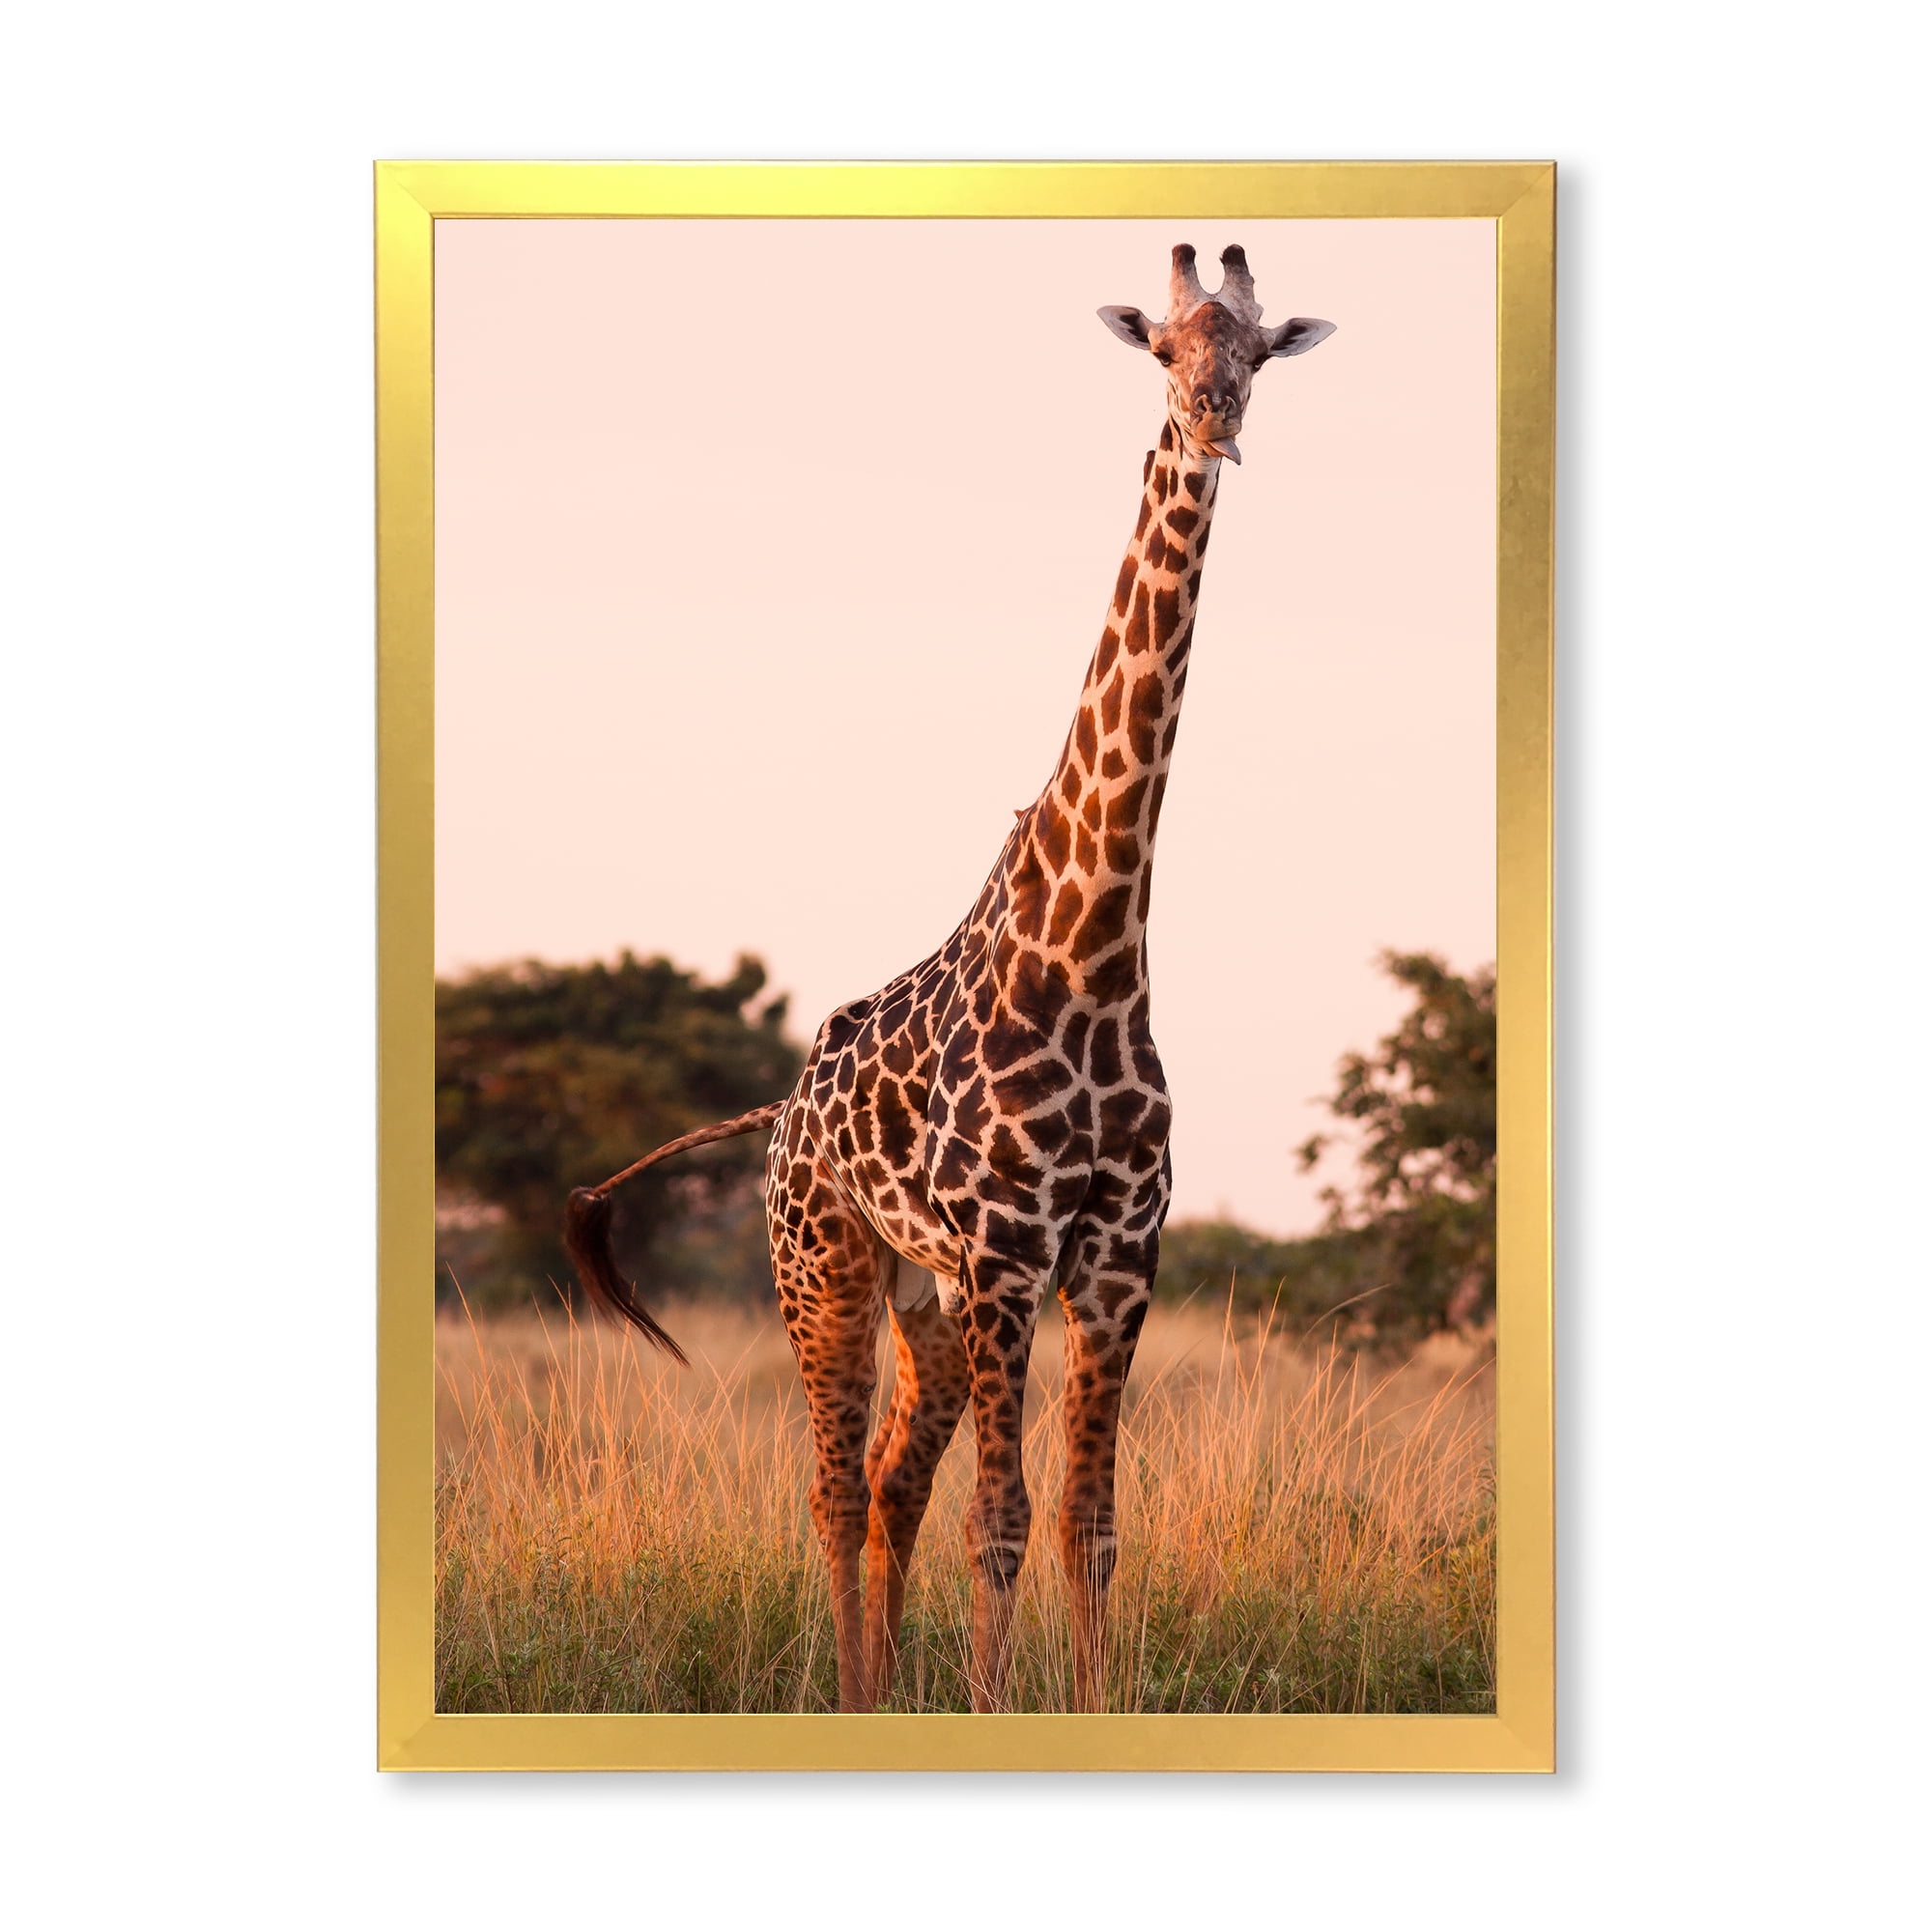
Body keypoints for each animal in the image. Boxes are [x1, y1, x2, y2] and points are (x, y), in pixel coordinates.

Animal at [565, 243, 1335, 1713]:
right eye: (1165, 350)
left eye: (1259, 352)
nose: (1214, 423)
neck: (1093, 954)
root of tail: (781, 1113)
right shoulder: (1005, 1252)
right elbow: (1005, 1518)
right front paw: (990, 1705)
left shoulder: (1116, 1256)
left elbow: (1089, 1525)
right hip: (825, 1267)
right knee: (833, 1489)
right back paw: (852, 1695)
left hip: (920, 1301)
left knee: (886, 1485)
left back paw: (875, 1691)